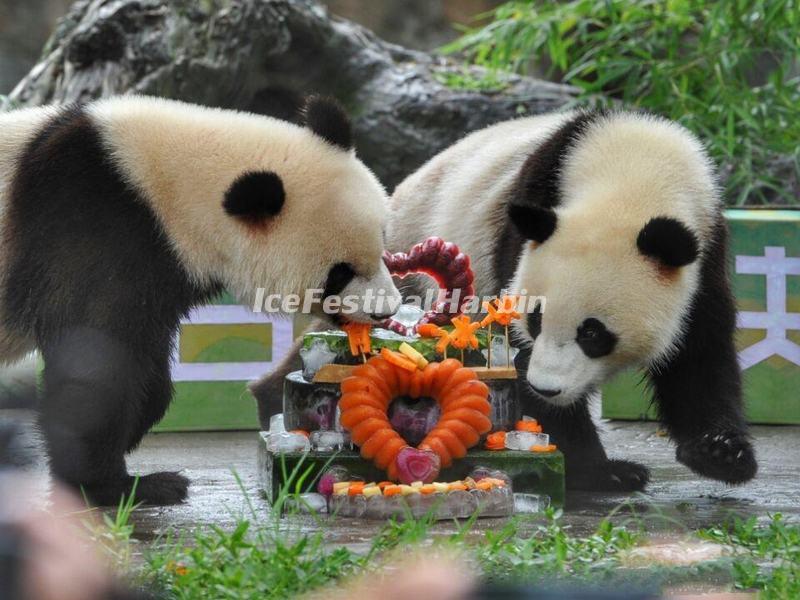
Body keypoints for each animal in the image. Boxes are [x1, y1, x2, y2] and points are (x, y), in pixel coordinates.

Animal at [0, 95, 400, 506]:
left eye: (383, 242)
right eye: (339, 273)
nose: (385, 310)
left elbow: (145, 358)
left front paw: (135, 429)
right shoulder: (93, 232)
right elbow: (95, 361)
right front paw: (120, 485)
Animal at [388, 111, 756, 492]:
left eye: (592, 333)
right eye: (535, 320)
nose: (545, 388)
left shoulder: (705, 250)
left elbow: (699, 351)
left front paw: (720, 452)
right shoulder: (522, 232)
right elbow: (518, 354)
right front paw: (601, 470)